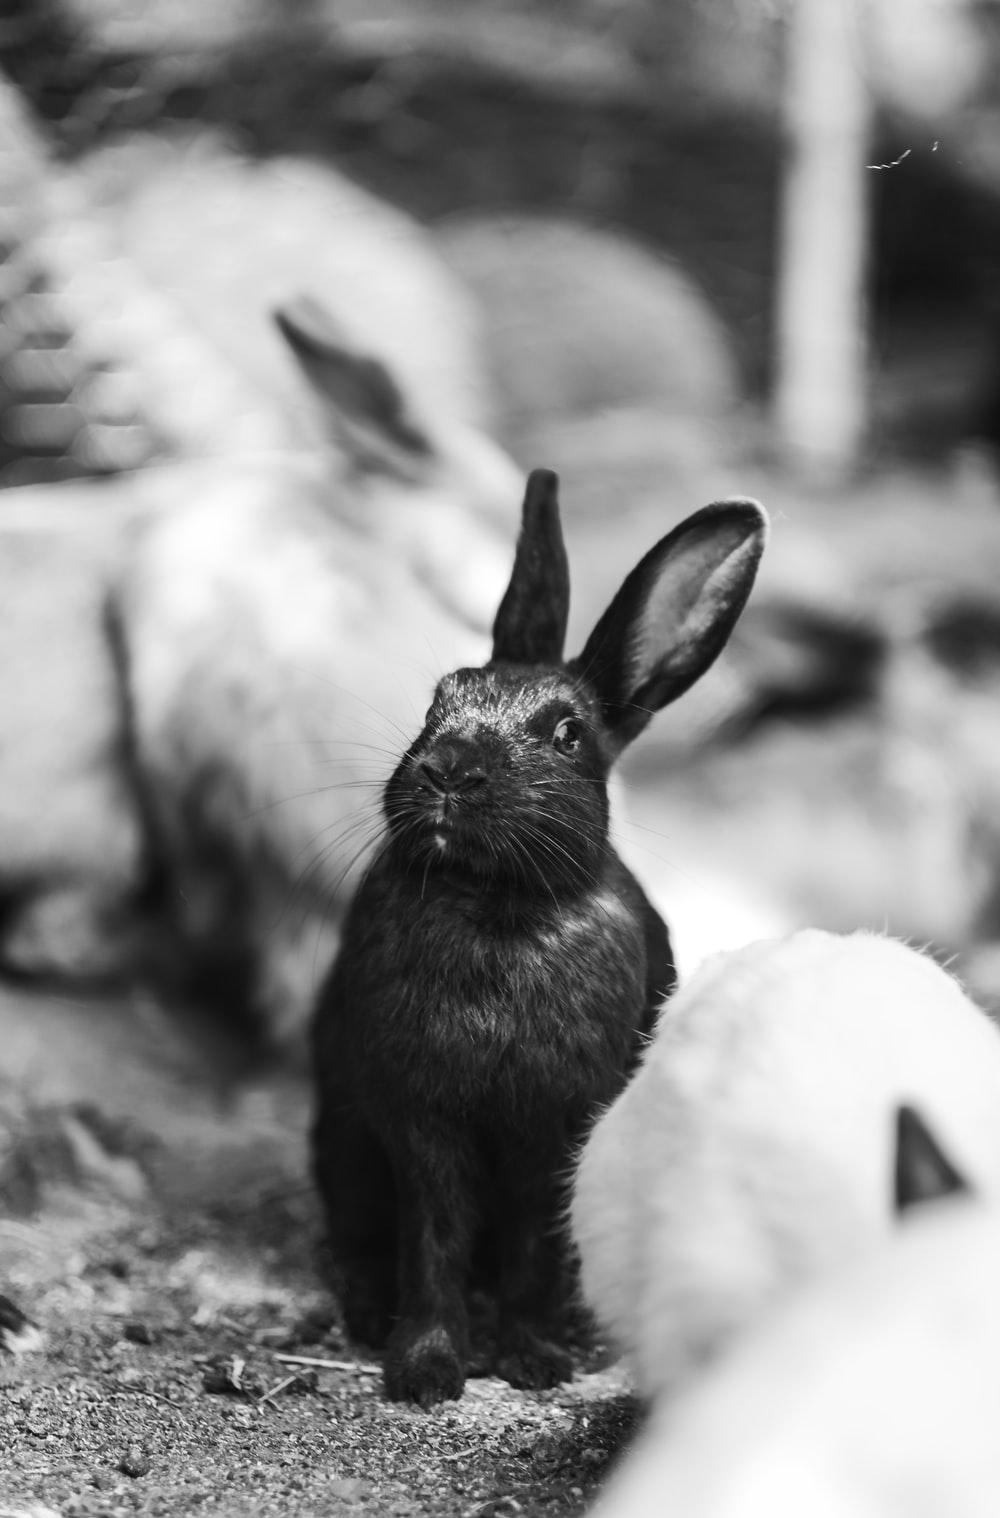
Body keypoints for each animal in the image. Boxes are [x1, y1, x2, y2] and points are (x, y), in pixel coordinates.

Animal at [311, 467, 768, 1407]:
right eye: (437, 699)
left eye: (567, 735)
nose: (447, 768)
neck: (498, 906)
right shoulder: (421, 1121)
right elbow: (436, 1240)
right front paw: (425, 1370)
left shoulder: (553, 1127)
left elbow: (532, 1243)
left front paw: (531, 1359)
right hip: (340, 1139)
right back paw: (368, 1317)